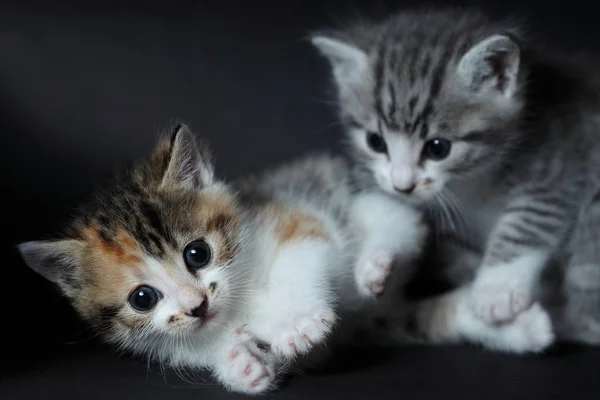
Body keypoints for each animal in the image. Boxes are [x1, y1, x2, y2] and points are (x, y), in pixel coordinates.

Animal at [310, 7, 600, 344]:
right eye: (376, 142)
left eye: (438, 148)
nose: (404, 185)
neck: (469, 181)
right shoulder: (381, 181)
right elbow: (391, 210)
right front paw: (375, 261)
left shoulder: (559, 161)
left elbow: (529, 219)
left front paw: (495, 289)